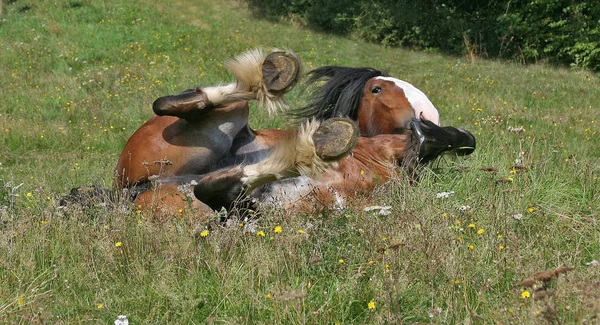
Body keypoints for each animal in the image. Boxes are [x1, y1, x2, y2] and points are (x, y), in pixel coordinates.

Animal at [115, 47, 476, 215]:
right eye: (377, 89)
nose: (428, 114)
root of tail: (129, 189)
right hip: (220, 122)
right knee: (169, 105)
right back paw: (278, 81)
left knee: (220, 188)